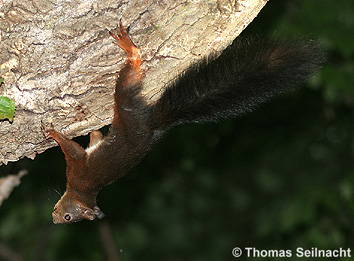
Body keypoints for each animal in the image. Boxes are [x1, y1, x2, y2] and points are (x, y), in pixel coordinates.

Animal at [41, 21, 324, 222]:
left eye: (68, 217)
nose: (54, 218)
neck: (82, 193)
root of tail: (154, 124)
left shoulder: (78, 170)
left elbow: (72, 150)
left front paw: (54, 133)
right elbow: (95, 140)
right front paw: (94, 133)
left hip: (126, 106)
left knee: (128, 78)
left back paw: (130, 49)